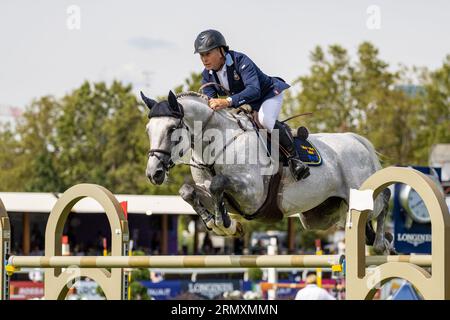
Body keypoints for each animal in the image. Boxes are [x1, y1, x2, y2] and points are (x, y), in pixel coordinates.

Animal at [142, 90, 394, 255]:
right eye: (148, 130)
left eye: (172, 129)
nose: (153, 173)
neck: (218, 145)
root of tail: (356, 140)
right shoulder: (222, 195)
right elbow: (188, 191)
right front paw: (220, 224)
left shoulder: (252, 194)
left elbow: (218, 184)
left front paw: (222, 223)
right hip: (322, 217)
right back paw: (381, 240)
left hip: (359, 196)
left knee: (384, 200)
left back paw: (383, 242)